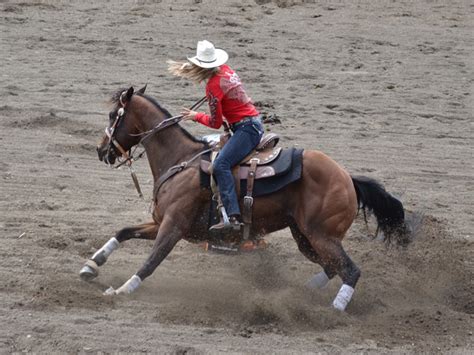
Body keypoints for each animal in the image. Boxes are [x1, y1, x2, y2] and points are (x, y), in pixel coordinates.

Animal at [79, 86, 410, 312]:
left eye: (113, 115)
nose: (100, 150)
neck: (180, 159)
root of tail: (347, 178)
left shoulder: (173, 226)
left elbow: (151, 261)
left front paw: (121, 290)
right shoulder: (161, 222)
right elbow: (123, 231)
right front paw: (92, 266)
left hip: (322, 236)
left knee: (350, 271)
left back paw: (332, 310)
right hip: (306, 237)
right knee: (332, 268)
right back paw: (302, 294)